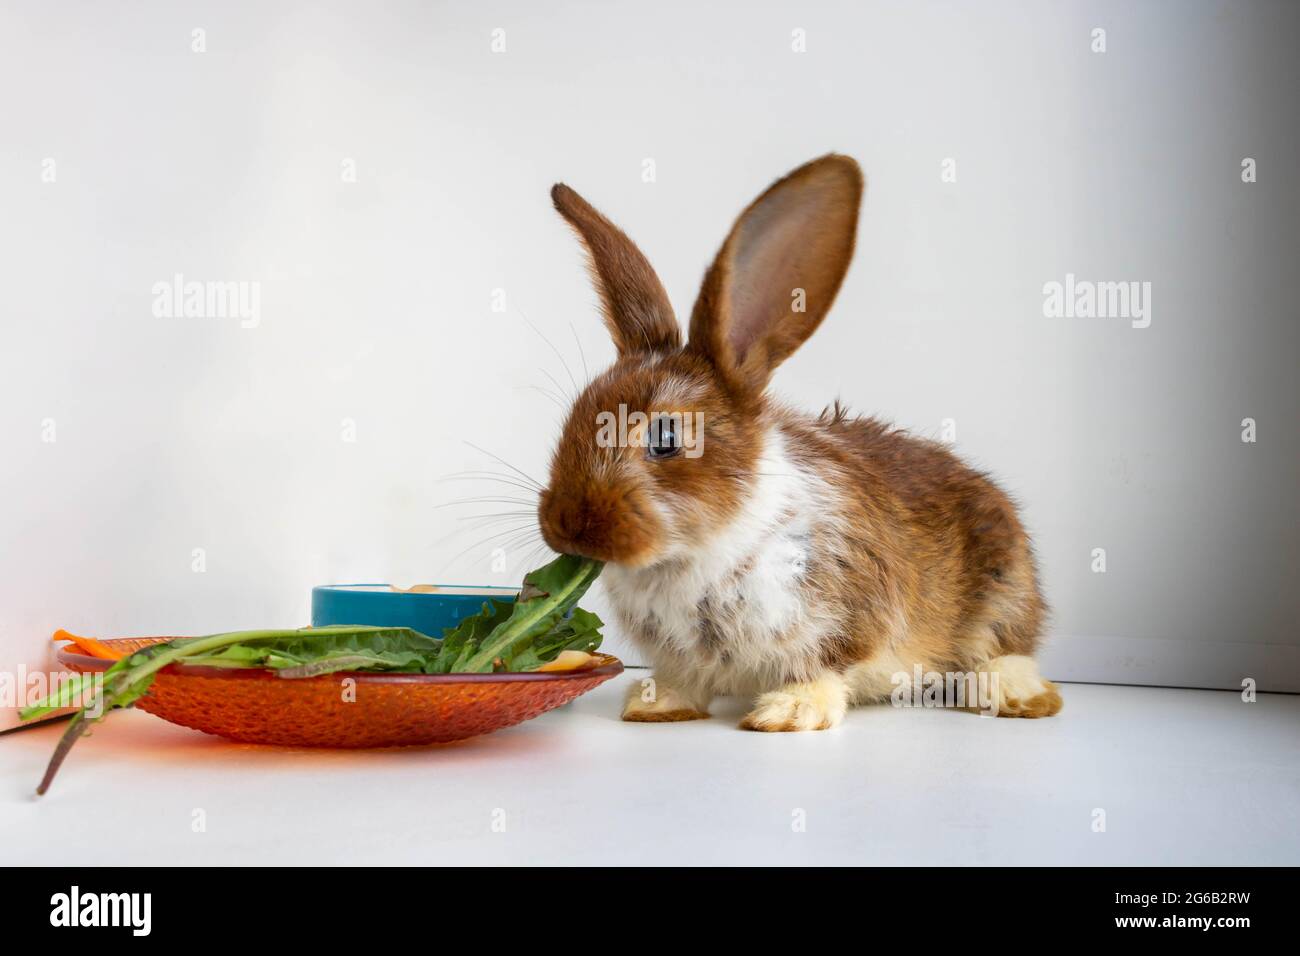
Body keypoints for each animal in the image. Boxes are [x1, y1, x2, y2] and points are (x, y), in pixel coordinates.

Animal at [533, 153, 1060, 728]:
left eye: (666, 437)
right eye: (575, 415)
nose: (567, 525)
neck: (700, 546)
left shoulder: (845, 614)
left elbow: (823, 669)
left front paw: (786, 713)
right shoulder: (682, 656)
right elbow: (685, 679)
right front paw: (656, 705)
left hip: (1004, 594)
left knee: (1005, 652)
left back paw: (1017, 696)